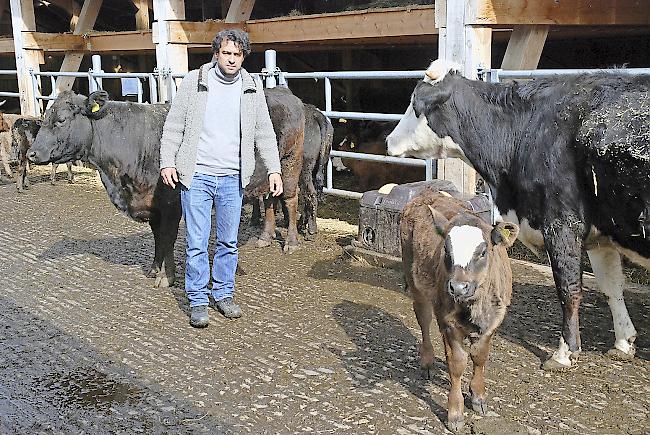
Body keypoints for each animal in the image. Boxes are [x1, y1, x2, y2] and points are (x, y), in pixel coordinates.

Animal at [388, 58, 644, 372]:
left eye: (414, 103)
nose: (389, 140)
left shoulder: (561, 222)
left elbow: (569, 288)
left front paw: (565, 352)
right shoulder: (600, 233)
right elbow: (611, 286)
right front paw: (623, 343)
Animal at [400, 191, 516, 432]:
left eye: (483, 251)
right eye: (446, 249)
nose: (458, 287)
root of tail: (428, 191)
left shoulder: (494, 321)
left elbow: (479, 356)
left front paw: (478, 397)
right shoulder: (450, 323)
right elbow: (457, 363)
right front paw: (455, 414)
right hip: (413, 277)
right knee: (423, 318)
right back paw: (427, 361)